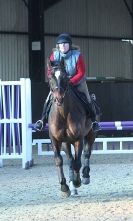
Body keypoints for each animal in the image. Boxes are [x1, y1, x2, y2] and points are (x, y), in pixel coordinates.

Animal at [47, 58, 96, 197]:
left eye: (65, 77)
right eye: (50, 76)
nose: (59, 98)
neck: (63, 114)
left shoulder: (78, 139)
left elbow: (78, 162)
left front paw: (77, 181)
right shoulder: (55, 140)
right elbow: (59, 160)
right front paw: (64, 187)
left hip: (91, 135)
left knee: (86, 154)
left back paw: (84, 177)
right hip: (66, 143)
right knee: (70, 160)